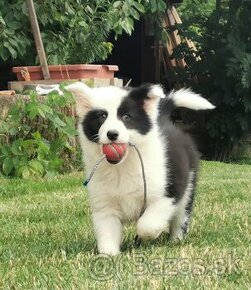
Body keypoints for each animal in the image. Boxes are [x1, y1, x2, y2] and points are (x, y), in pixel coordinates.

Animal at [67, 82, 216, 255]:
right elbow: (107, 232)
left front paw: (148, 236)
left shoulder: (167, 194)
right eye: (101, 117)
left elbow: (147, 225)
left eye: (126, 117)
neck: (122, 167)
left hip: (188, 186)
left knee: (181, 216)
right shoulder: (105, 206)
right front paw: (109, 255)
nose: (112, 134)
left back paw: (175, 239)